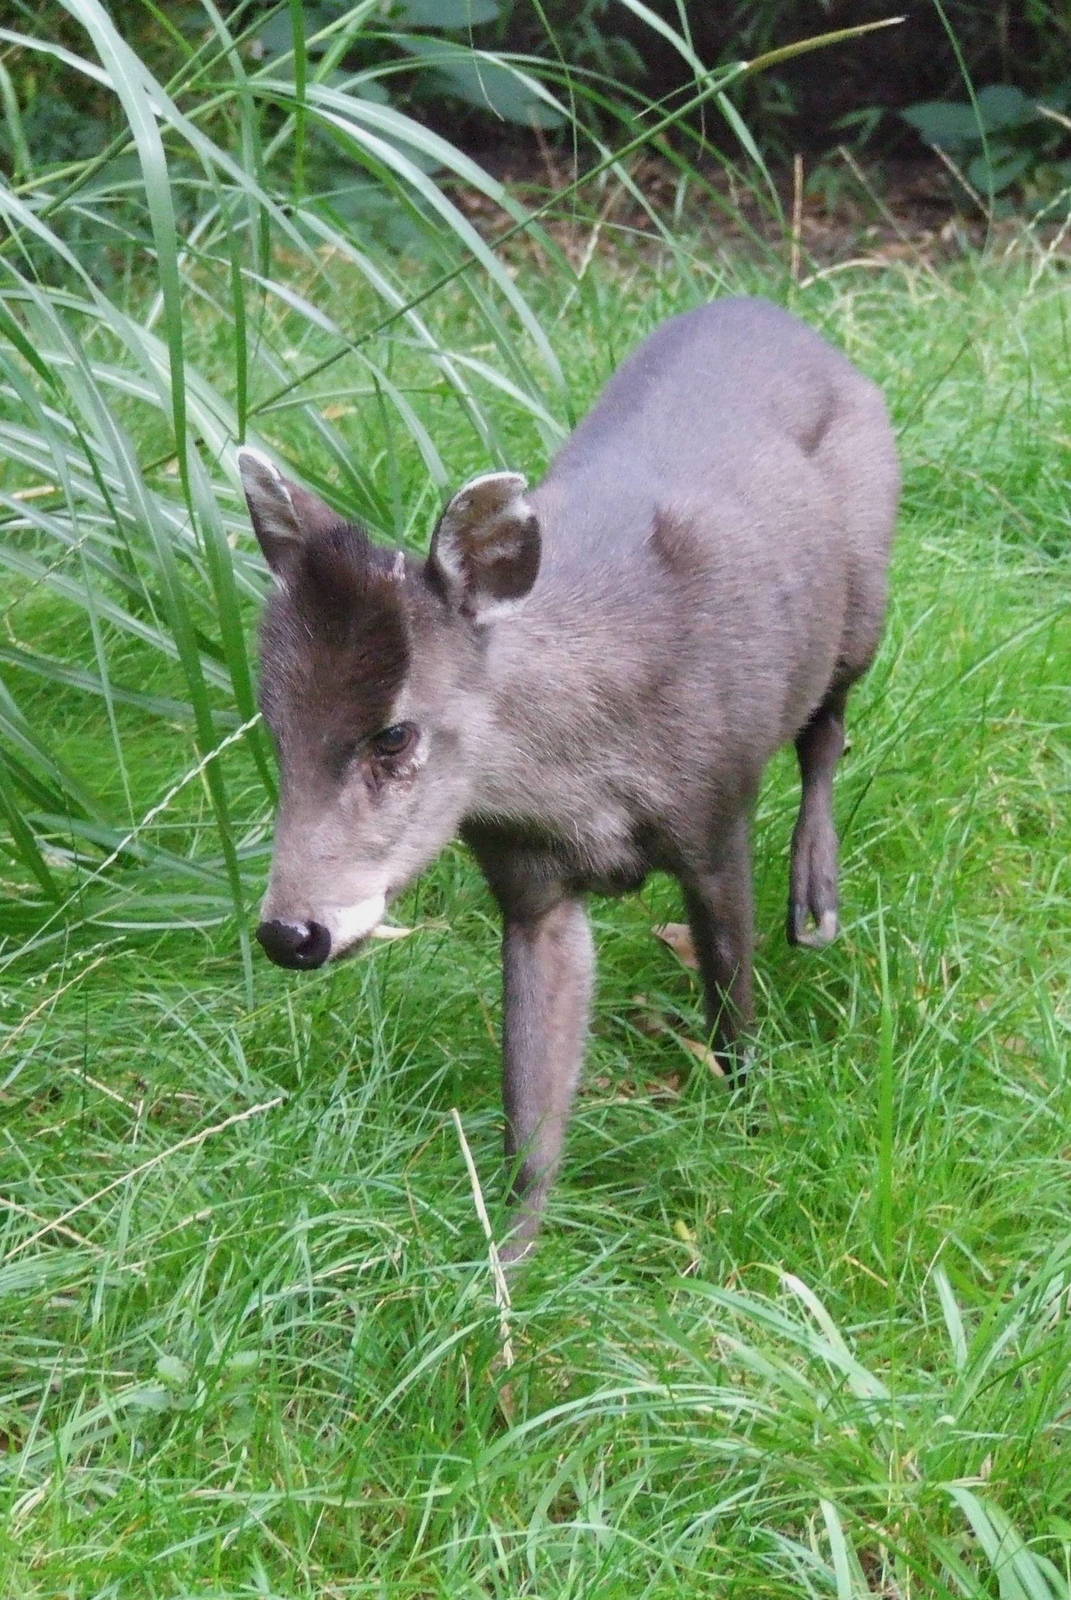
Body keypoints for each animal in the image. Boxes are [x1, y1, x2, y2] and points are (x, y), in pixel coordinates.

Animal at [238, 296, 900, 1262]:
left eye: (394, 733)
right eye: (272, 723)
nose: (292, 933)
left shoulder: (716, 811)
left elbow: (729, 1002)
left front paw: (748, 1125)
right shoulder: (525, 878)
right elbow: (531, 1107)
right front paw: (505, 1267)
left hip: (866, 586)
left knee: (827, 725)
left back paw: (815, 900)